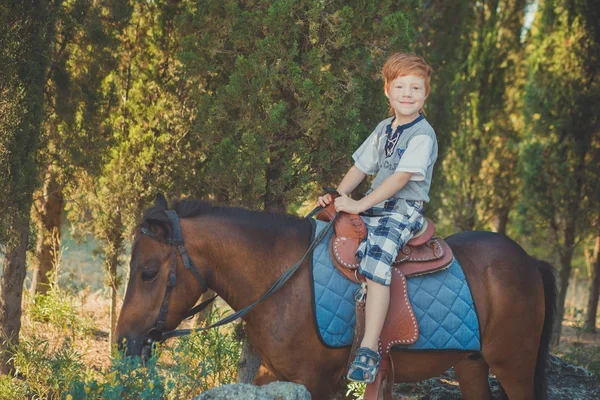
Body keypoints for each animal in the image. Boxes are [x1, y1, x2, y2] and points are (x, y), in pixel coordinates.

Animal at [115, 198, 556, 400]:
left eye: (148, 272)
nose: (123, 341)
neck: (283, 276)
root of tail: (529, 260)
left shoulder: (315, 380)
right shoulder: (279, 375)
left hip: (514, 365)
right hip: (471, 364)